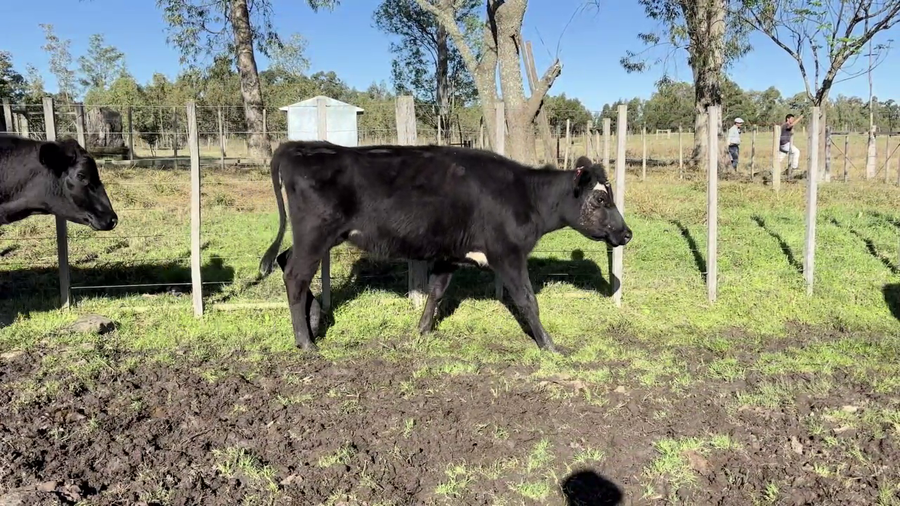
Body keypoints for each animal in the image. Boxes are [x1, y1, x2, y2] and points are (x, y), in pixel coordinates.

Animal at [258, 141, 632, 353]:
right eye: (601, 199)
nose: (627, 233)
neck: (524, 196)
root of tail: (299, 146)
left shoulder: (450, 254)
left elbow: (436, 292)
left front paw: (422, 331)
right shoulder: (508, 254)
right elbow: (528, 301)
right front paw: (549, 345)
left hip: (315, 237)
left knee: (285, 260)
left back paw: (314, 318)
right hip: (315, 234)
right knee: (295, 276)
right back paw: (305, 341)